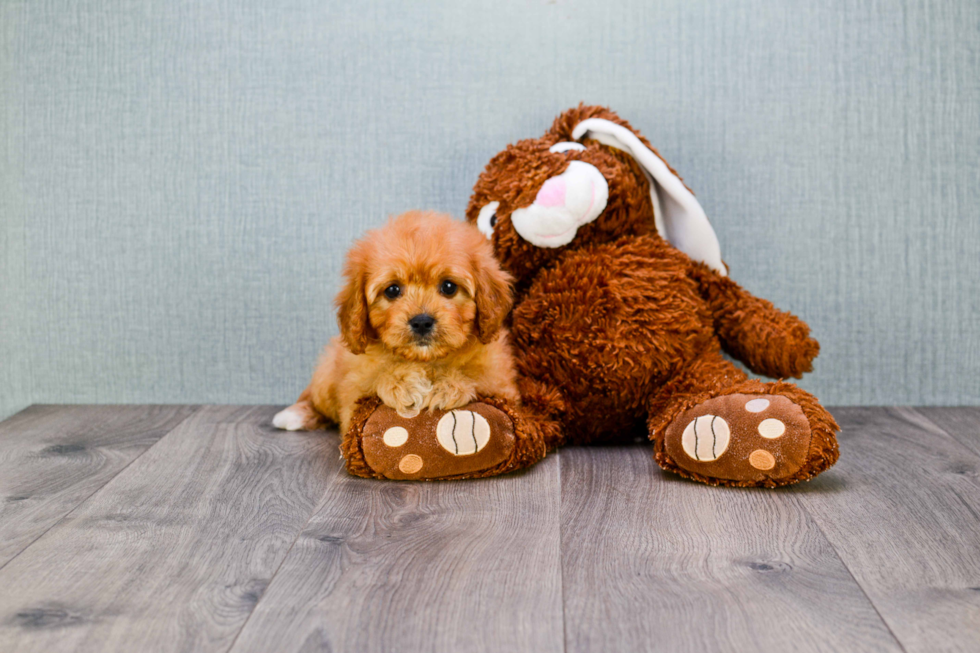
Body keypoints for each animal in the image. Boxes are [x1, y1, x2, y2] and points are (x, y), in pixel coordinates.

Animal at [274, 210, 520, 432]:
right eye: (392, 290)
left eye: (449, 287)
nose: (422, 321)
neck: (425, 360)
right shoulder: (354, 386)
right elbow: (372, 380)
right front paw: (403, 382)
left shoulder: (501, 383)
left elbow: (479, 378)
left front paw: (447, 385)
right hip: (326, 374)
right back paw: (296, 415)